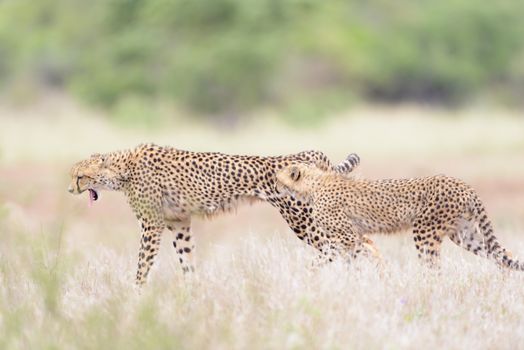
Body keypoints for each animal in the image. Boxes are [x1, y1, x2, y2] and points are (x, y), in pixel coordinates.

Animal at [68, 144, 364, 286]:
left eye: (81, 176)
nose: (70, 189)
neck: (123, 169)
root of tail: (302, 153)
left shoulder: (151, 225)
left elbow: (142, 265)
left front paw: (135, 294)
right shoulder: (179, 222)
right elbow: (187, 260)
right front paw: (193, 293)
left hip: (302, 218)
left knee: (347, 244)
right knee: (355, 243)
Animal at [276, 164, 520, 270]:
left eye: (278, 178)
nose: (275, 186)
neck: (313, 184)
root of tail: (462, 183)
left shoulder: (347, 236)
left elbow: (325, 255)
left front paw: (309, 272)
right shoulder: (357, 236)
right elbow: (365, 254)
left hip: (425, 230)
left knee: (432, 268)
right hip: (463, 234)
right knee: (501, 254)